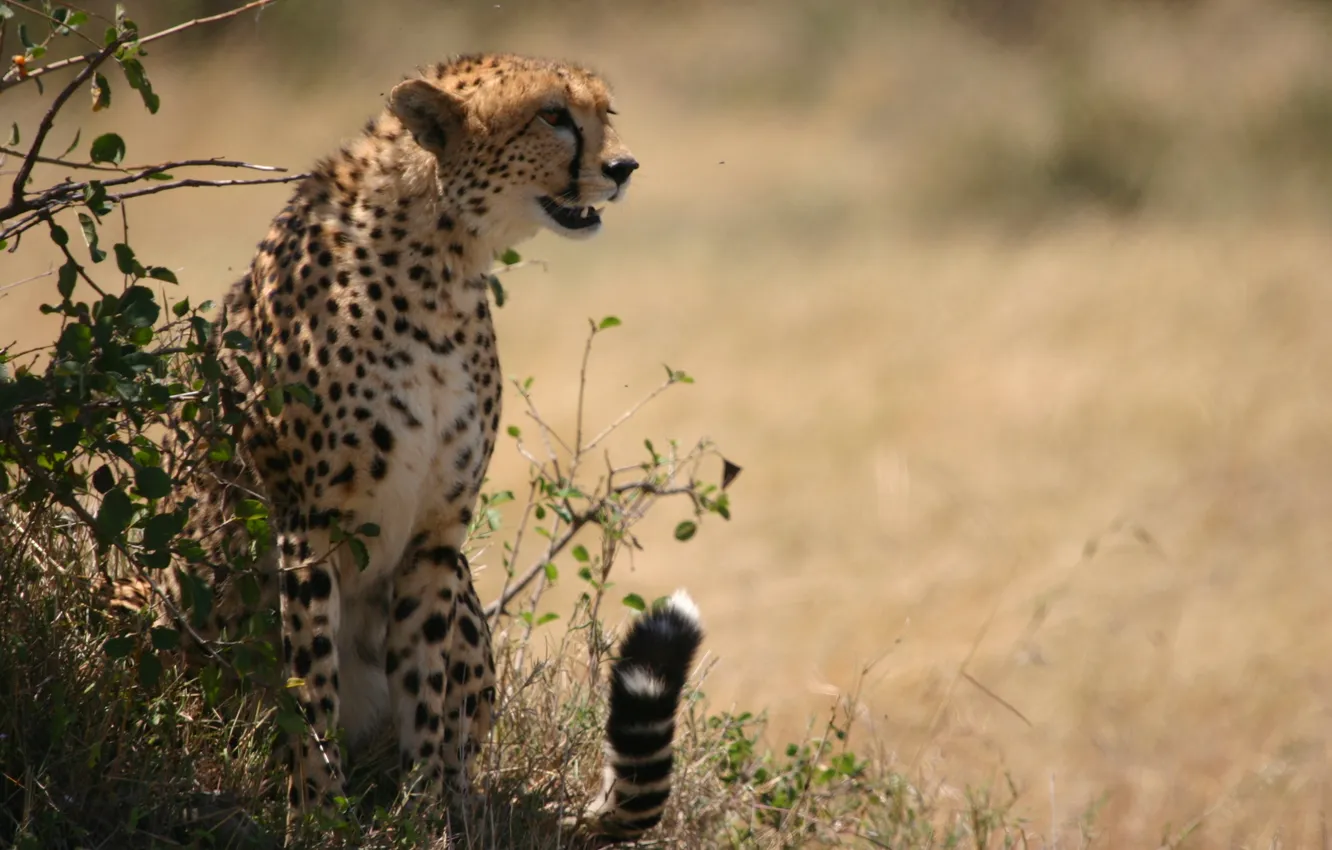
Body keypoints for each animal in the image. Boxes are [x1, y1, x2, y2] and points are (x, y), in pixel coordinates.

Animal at [108, 52, 703, 843]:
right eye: (552, 116)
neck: (441, 263)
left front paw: (428, 816)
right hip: (139, 599)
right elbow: (310, 685)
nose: (623, 166)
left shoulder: (437, 531)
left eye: (604, 112)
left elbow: (427, 687)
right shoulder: (310, 523)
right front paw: (316, 811)